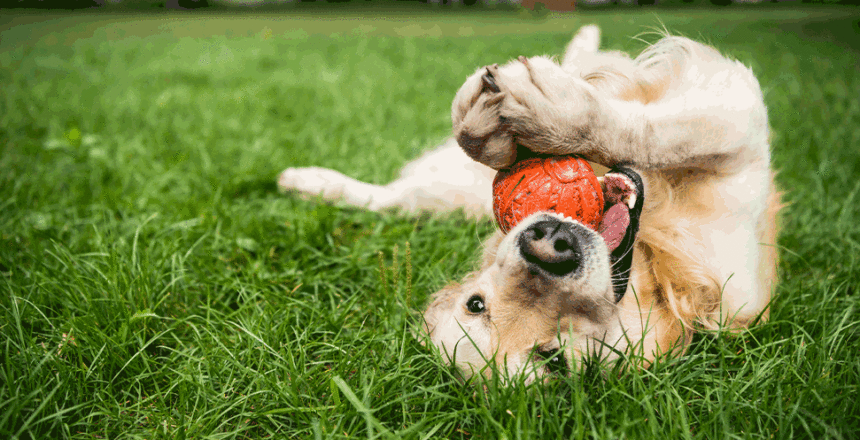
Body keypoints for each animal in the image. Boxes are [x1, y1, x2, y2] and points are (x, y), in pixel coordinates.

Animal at [280, 25, 780, 382]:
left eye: (474, 304)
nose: (548, 245)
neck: (652, 264)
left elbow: (651, 130)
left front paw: (540, 116)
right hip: (446, 198)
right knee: (392, 198)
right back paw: (308, 182)